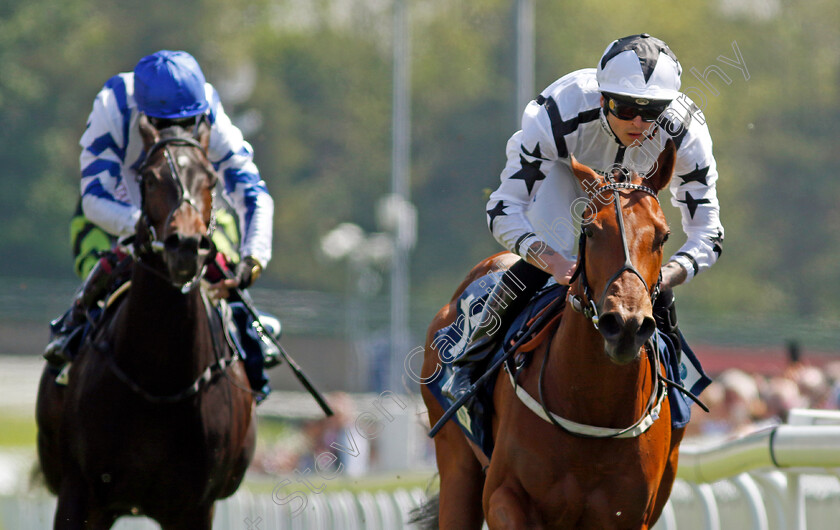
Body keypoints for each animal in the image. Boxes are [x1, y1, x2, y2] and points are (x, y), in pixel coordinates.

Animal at [36, 116, 258, 528]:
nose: (186, 245)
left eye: (211, 179)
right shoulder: (80, 492)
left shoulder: (195, 506)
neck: (160, 379)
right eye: (151, 178)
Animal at [420, 140, 684, 528]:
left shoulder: (630, 515)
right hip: (456, 460)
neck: (593, 409)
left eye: (663, 235)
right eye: (590, 230)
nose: (625, 325)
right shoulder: (503, 497)